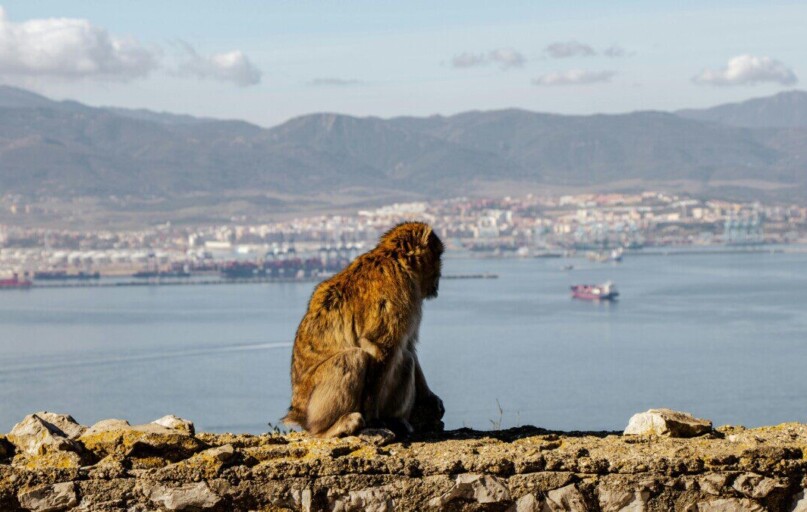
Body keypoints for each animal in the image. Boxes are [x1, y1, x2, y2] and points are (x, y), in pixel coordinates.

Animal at [282, 221, 445, 437]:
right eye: (439, 255)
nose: (440, 274)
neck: (397, 261)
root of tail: (298, 412)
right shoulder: (399, 297)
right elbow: (380, 347)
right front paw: (373, 417)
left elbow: (408, 346)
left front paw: (429, 397)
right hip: (314, 406)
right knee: (352, 358)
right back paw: (331, 428)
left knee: (405, 359)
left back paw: (396, 420)